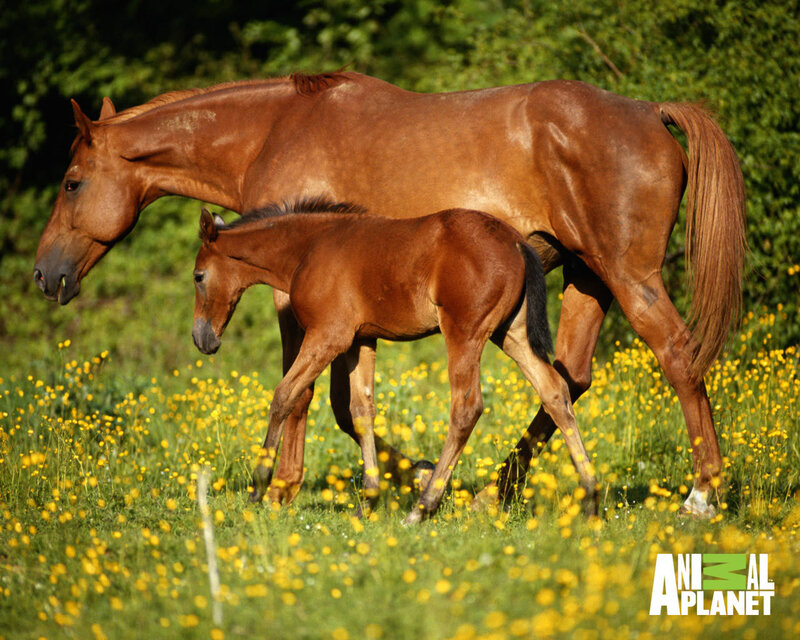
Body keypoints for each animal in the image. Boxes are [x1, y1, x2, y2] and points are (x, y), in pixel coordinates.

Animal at [191, 202, 598, 522]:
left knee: (466, 409)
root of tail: (516, 241)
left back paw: (423, 507)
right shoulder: (360, 340)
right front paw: (368, 499)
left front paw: (258, 486)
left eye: (198, 276)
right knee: (555, 392)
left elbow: (284, 395)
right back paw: (591, 497)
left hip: (464, 334)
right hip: (510, 334)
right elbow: (361, 410)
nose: (202, 339)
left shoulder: (327, 336)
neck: (310, 248)